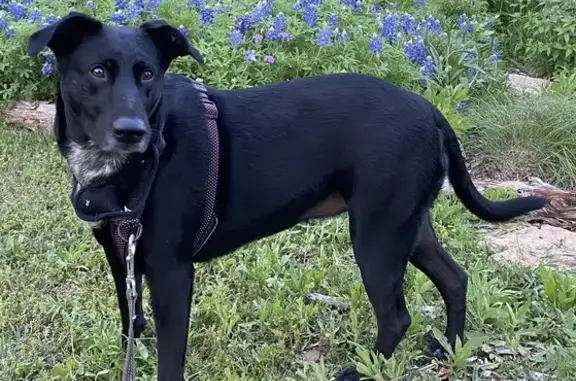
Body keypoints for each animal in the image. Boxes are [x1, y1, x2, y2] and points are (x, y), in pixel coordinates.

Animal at [28, 11, 548, 380]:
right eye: (98, 71)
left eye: (149, 74)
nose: (132, 131)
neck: (136, 163)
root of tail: (431, 110)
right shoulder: (122, 257)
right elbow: (130, 328)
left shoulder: (173, 274)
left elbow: (169, 361)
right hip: (407, 223)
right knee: (456, 279)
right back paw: (451, 347)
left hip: (377, 235)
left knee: (396, 317)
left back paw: (360, 372)